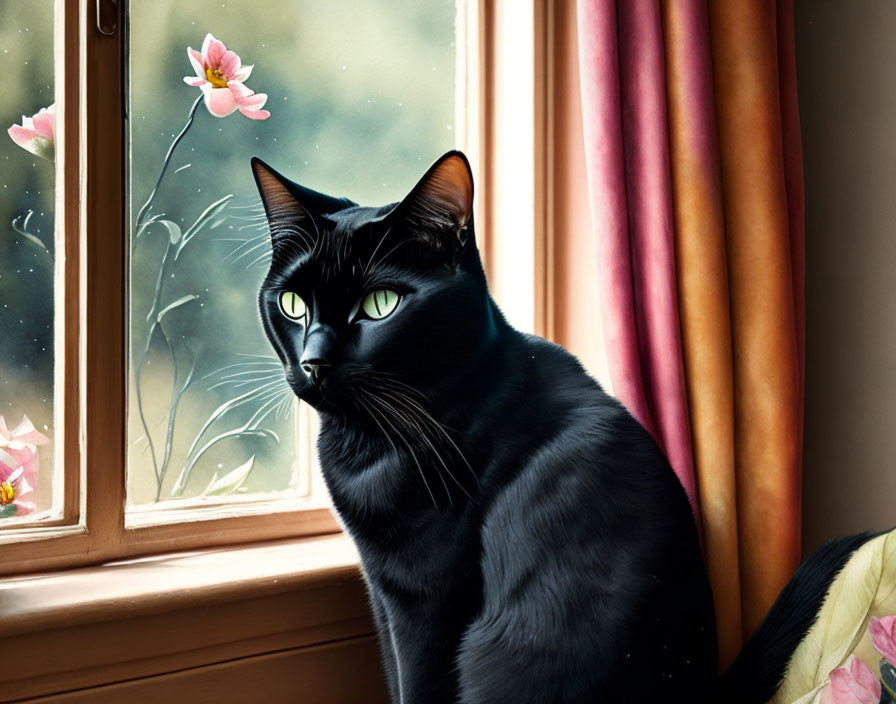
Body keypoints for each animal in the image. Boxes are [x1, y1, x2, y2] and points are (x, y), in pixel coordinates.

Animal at [252, 151, 876, 700]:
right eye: (292, 304)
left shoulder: (427, 600)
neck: (370, 438)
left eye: (380, 304)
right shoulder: (384, 600)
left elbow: (420, 687)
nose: (314, 361)